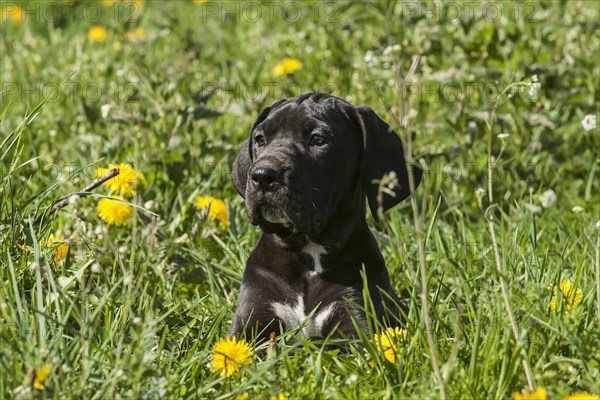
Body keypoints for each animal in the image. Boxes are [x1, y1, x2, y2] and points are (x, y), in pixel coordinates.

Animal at [230, 93, 422, 340]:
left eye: (318, 139)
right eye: (260, 139)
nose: (263, 176)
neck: (309, 251)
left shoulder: (353, 320)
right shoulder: (249, 322)